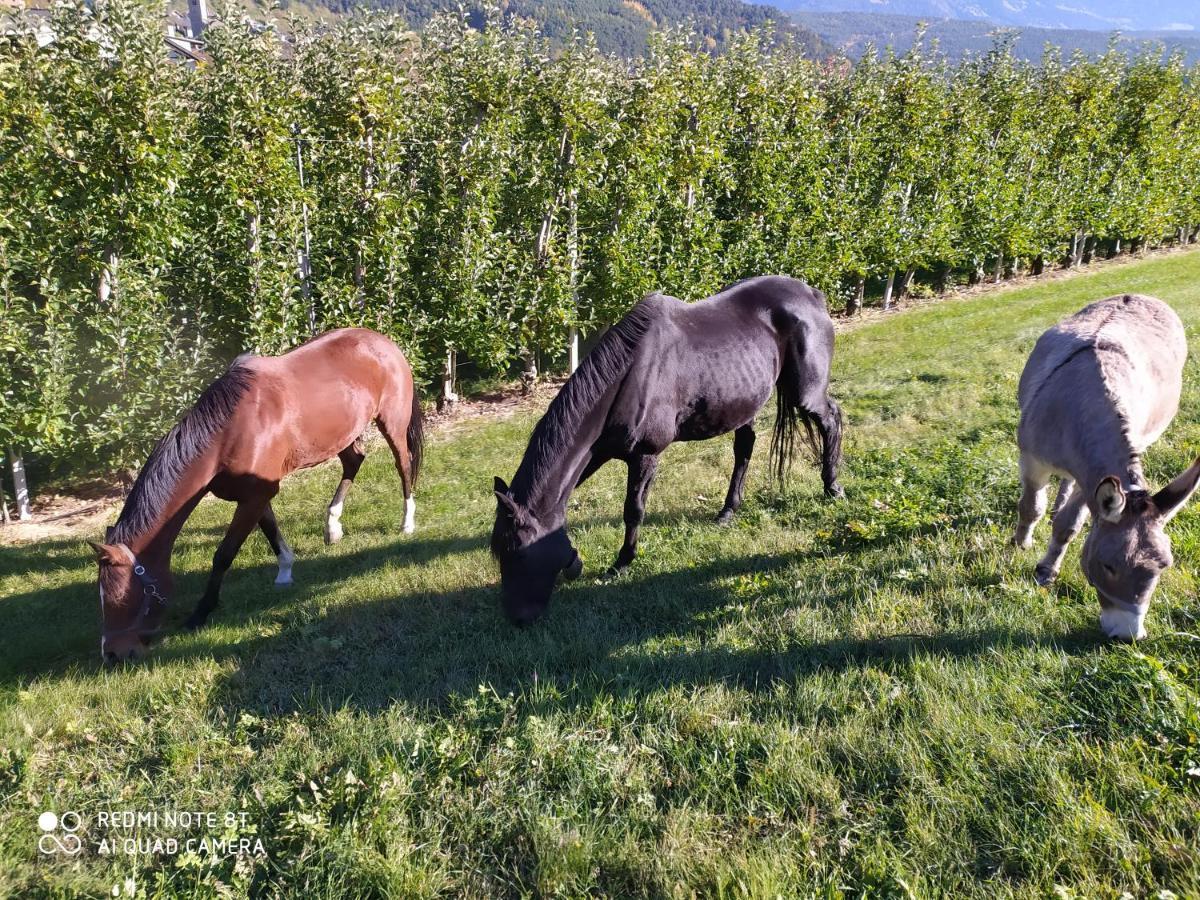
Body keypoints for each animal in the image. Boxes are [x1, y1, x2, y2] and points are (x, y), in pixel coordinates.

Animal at [87, 328, 422, 662]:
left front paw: (200, 613)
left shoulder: (256, 495)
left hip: (392, 422)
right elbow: (271, 531)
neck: (229, 432)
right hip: (343, 433)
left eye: (123, 597)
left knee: (403, 465)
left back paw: (407, 522)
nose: (112, 654)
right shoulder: (254, 495)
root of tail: (382, 341)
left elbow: (224, 555)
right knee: (354, 461)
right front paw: (285, 572)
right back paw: (332, 526)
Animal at [487, 274, 844, 628]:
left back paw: (832, 487)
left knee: (832, 419)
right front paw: (576, 561)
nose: (518, 618)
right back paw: (728, 511)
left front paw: (622, 563)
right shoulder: (596, 453)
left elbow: (633, 510)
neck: (630, 376)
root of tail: (812, 294)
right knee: (744, 448)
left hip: (805, 393)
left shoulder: (646, 455)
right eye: (500, 552)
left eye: (519, 552)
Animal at [1012, 296, 1200, 643]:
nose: (1128, 637)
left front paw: (1047, 569)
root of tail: (1135, 294)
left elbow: (1068, 526)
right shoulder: (1032, 461)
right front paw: (1021, 543)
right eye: (1108, 566)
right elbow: (1031, 507)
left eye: (1163, 566)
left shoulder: (1091, 483)